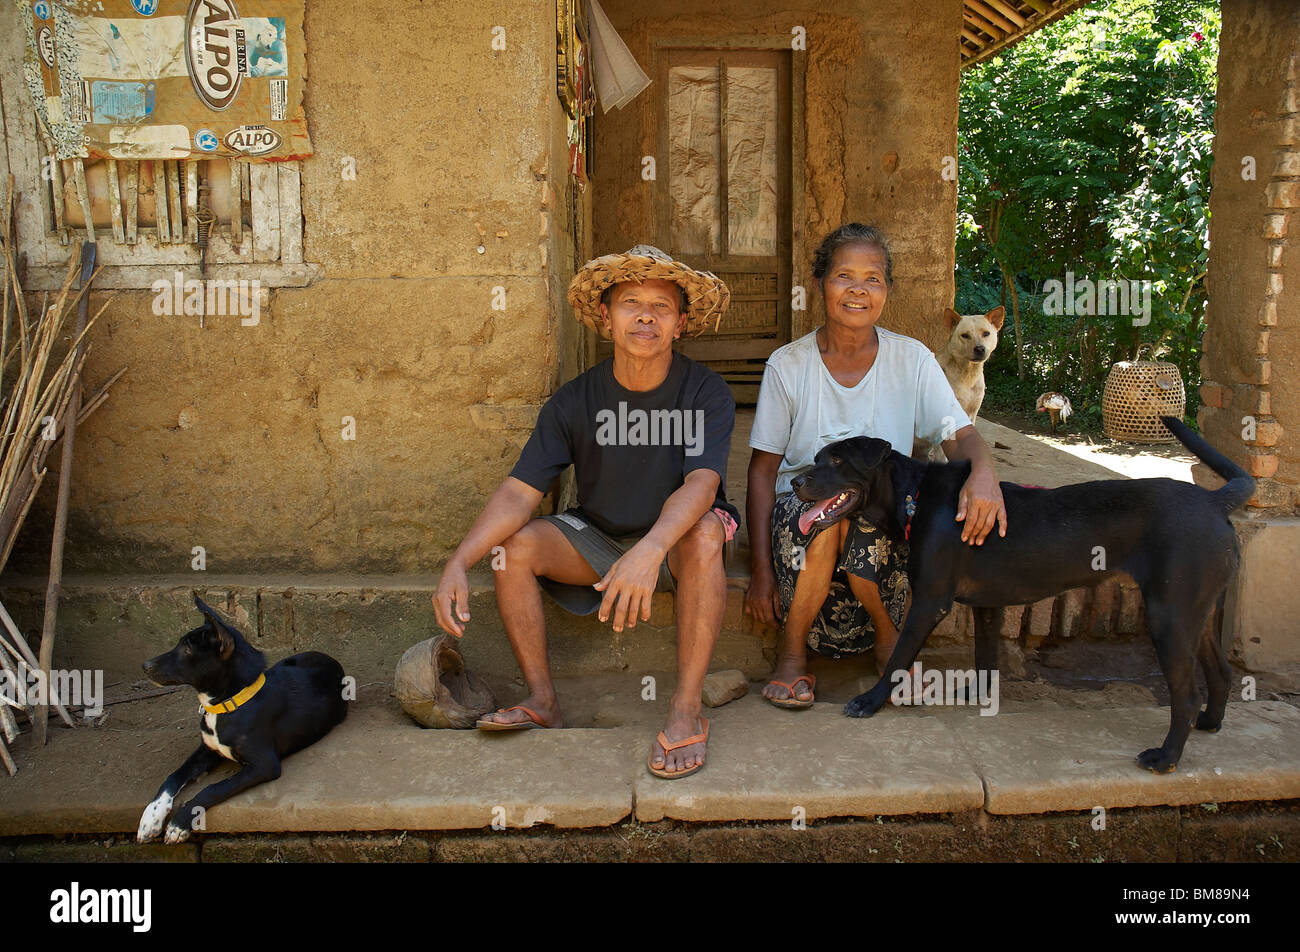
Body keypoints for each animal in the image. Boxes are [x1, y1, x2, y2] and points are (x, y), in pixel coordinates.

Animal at [139, 590, 348, 842]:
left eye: (187, 650)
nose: (145, 665)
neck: (228, 704)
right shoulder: (206, 749)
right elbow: (173, 776)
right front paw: (150, 817)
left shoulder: (264, 764)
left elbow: (213, 788)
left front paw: (179, 823)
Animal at [785, 416, 1253, 775]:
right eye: (817, 458)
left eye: (838, 461)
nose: (796, 482)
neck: (914, 497)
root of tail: (1214, 502)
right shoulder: (988, 605)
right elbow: (985, 655)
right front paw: (979, 696)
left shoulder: (930, 601)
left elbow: (900, 657)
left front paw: (870, 701)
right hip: (1197, 612)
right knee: (1221, 672)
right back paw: (1210, 722)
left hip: (1169, 616)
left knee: (1186, 694)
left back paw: (1166, 757)